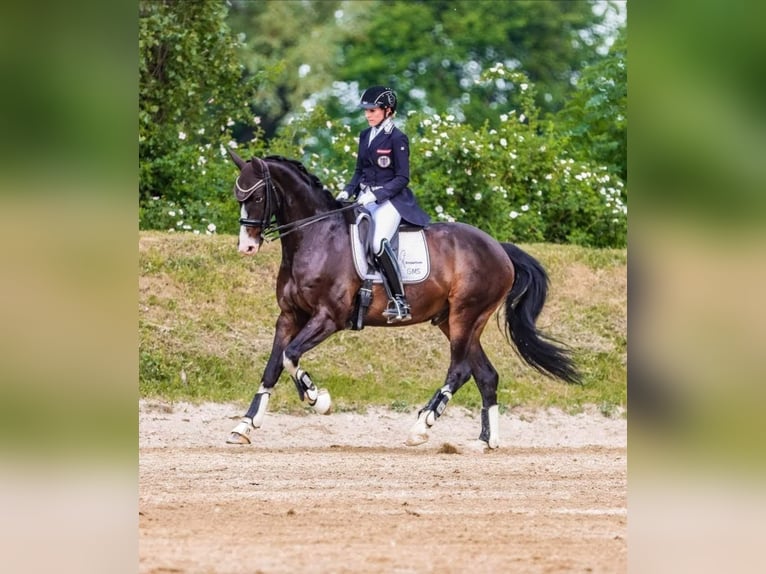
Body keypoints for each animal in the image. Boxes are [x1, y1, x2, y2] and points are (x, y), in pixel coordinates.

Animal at [225, 153, 580, 450]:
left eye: (257, 197)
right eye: (238, 197)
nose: (247, 247)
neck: (316, 238)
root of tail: (499, 249)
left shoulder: (328, 318)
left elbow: (290, 355)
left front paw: (317, 399)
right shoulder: (288, 316)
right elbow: (274, 365)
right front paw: (244, 426)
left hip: (466, 316)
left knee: (460, 370)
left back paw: (422, 426)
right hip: (453, 321)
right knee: (486, 375)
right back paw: (484, 441)